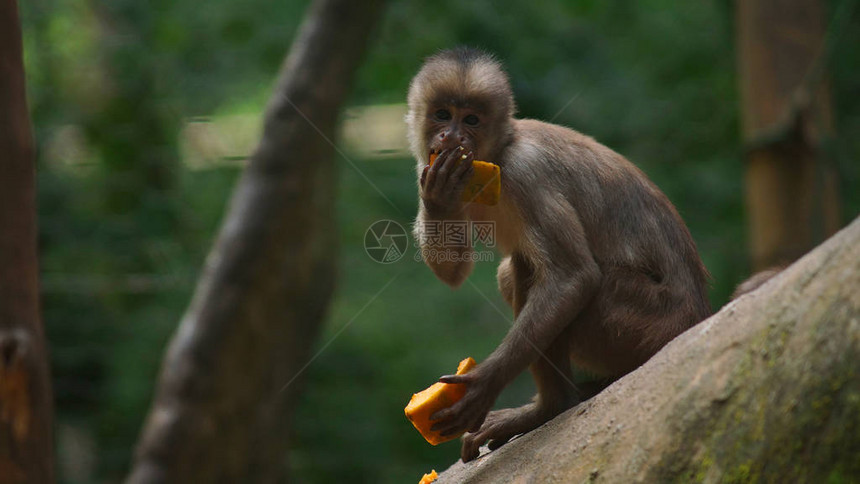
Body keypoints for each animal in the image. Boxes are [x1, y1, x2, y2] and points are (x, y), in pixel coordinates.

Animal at [408, 48, 712, 462]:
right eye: (443, 114)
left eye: (471, 120)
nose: (452, 136)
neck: (498, 155)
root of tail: (698, 317)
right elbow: (453, 271)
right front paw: (438, 197)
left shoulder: (526, 171)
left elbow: (573, 277)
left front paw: (485, 384)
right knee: (517, 268)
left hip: (648, 322)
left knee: (552, 276)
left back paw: (551, 407)